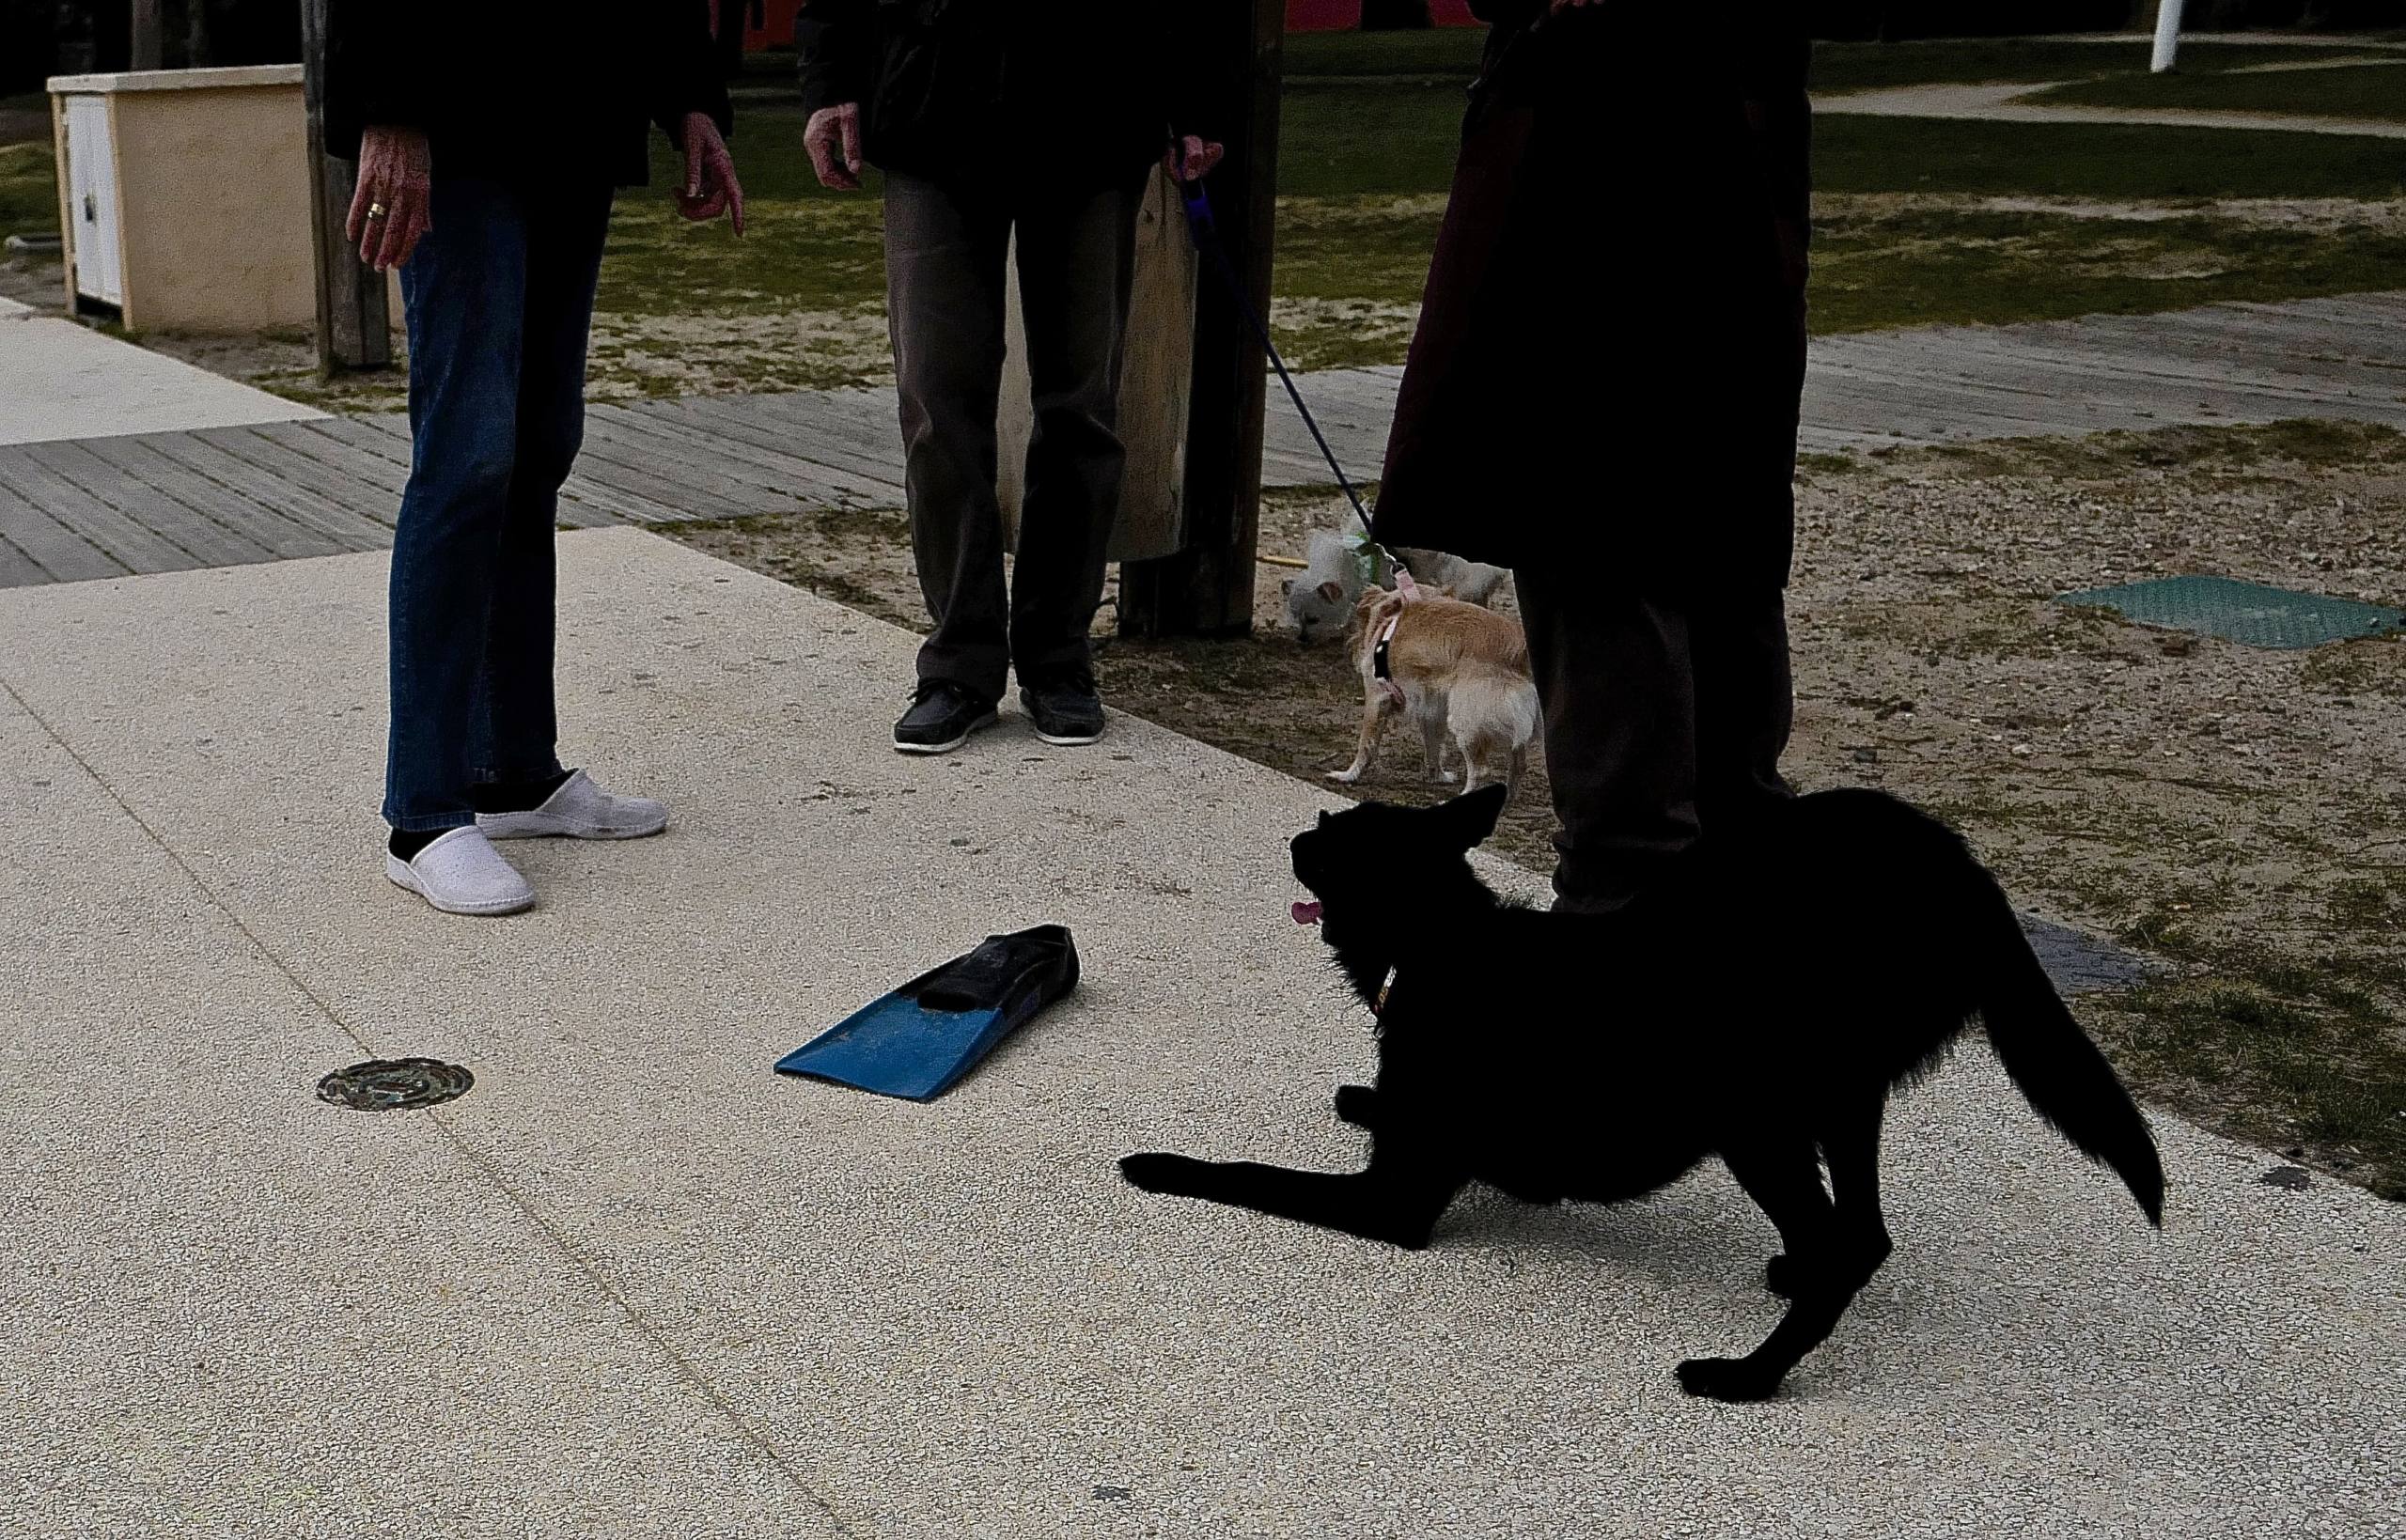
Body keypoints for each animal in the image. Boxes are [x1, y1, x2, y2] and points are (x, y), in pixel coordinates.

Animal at [1116, 788, 2175, 1405]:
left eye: (1331, 846)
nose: (1295, 833)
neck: (1441, 943)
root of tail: (1964, 872)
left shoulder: (1394, 1202)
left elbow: (1246, 1171)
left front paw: (1157, 1163)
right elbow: (1372, 1105)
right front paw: (1360, 1096)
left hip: (1757, 1118)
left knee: (1840, 1241)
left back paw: (1748, 1375)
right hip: (1834, 1097)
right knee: (1861, 1235)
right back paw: (1797, 1275)